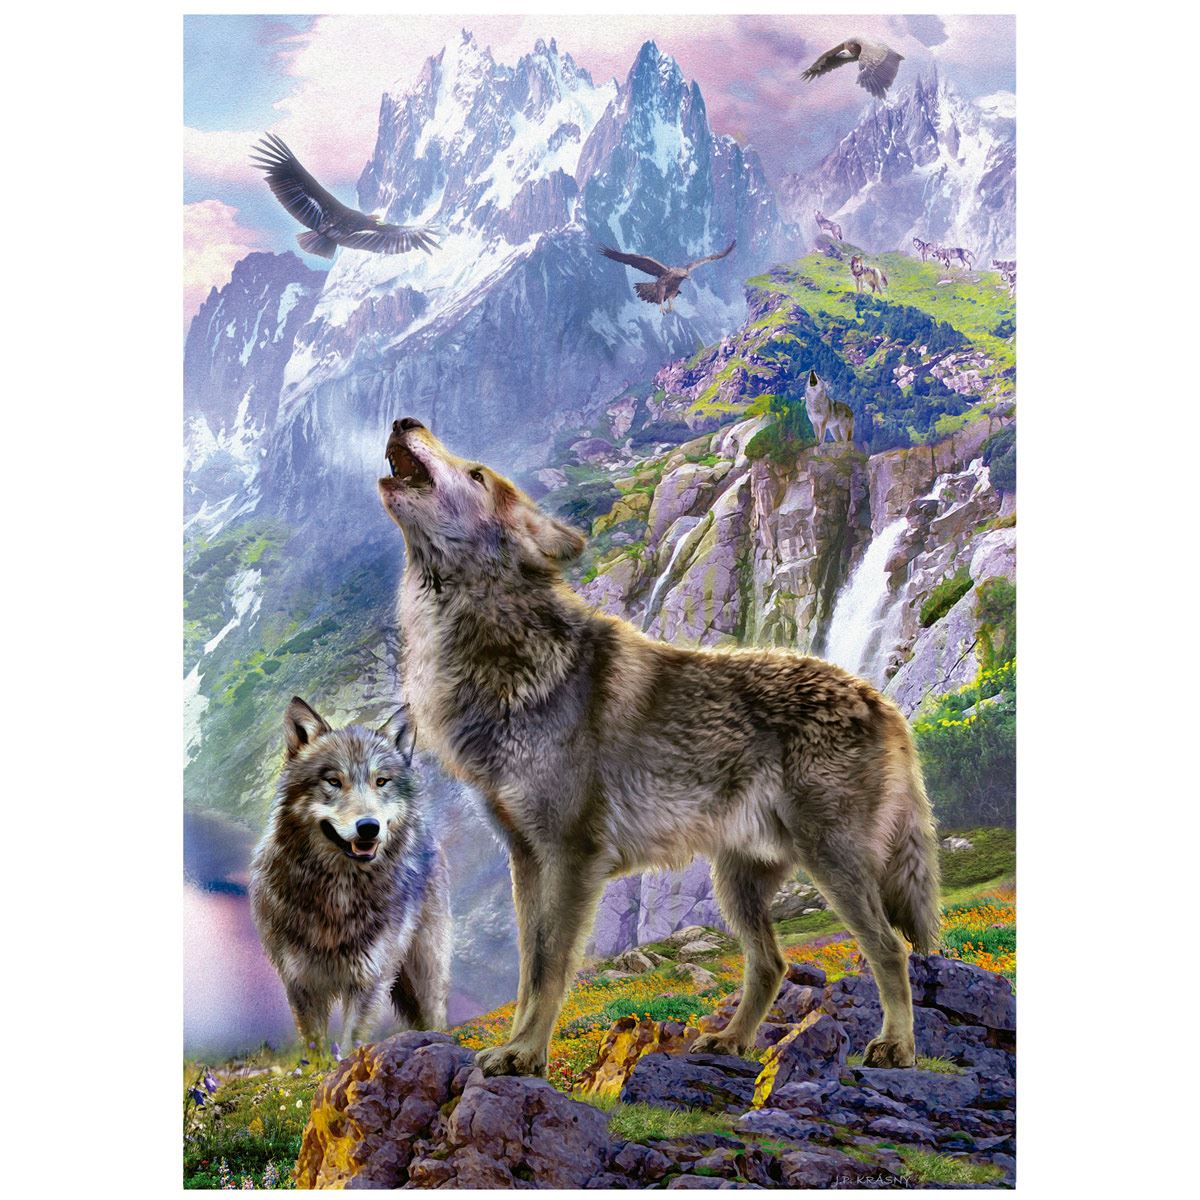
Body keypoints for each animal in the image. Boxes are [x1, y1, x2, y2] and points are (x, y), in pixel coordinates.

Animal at [250, 697, 452, 1050]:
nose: (369, 827)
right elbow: (315, 1048)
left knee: (436, 1015)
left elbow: (350, 1045)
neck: (339, 894)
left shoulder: (370, 980)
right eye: (333, 781)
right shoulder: (301, 983)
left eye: (381, 782)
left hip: (423, 971)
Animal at [379, 417, 940, 1079]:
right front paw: (518, 1050)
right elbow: (527, 970)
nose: (405, 422)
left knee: (890, 949)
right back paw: (731, 1040)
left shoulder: (572, 856)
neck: (499, 652)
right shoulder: (527, 858)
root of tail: (884, 702)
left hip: (832, 864)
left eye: (475, 474)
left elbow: (550, 968)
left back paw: (896, 1046)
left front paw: (525, 1053)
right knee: (771, 963)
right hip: (737, 882)